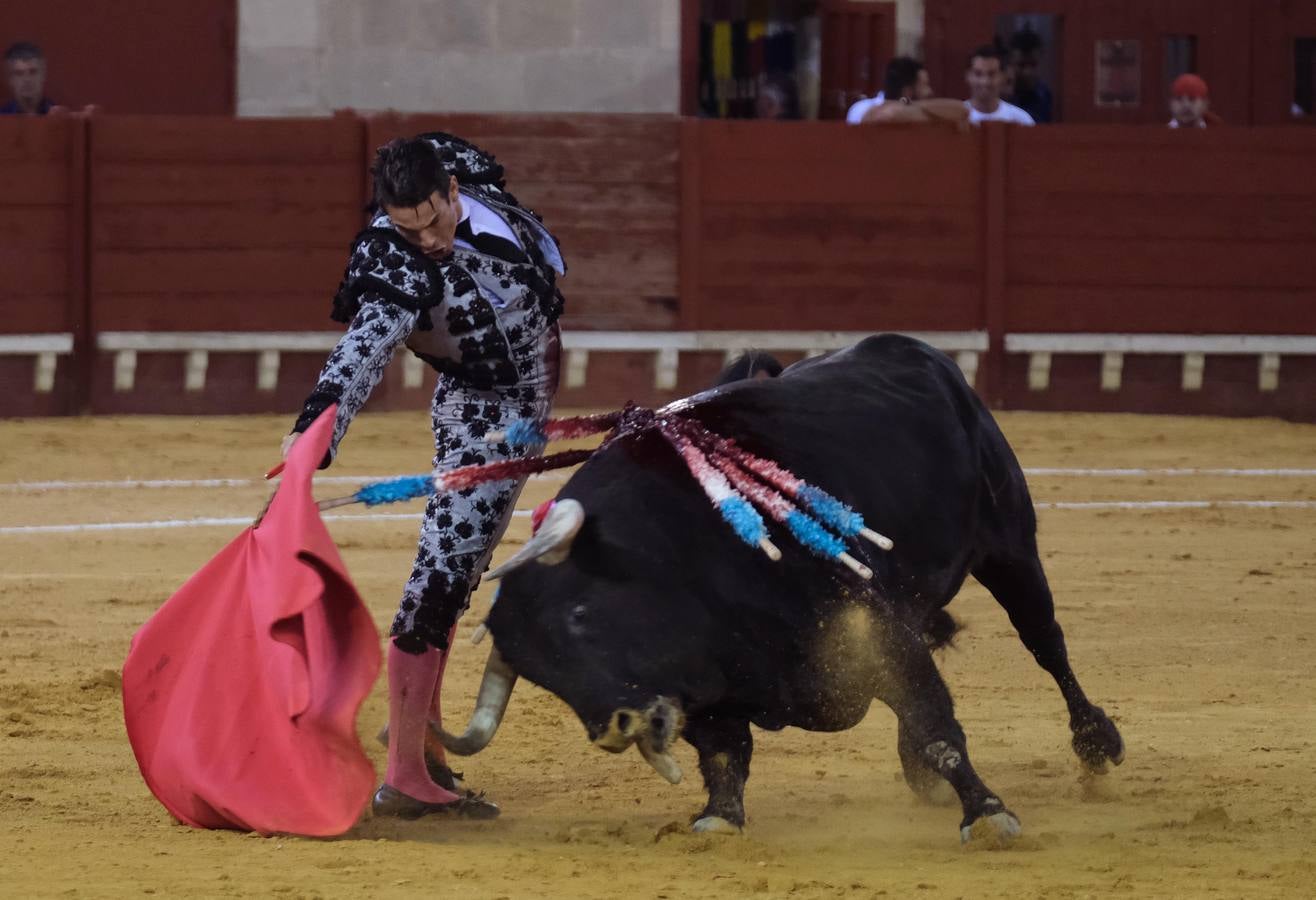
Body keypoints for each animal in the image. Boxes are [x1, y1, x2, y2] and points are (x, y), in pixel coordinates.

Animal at [442, 334, 1121, 842]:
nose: (616, 726)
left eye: (580, 613)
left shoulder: (875, 628)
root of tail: (913, 351)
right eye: (542, 676)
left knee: (1046, 642)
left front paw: (986, 814)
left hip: (1009, 545)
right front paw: (717, 821)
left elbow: (937, 729)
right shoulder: (711, 695)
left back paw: (1096, 743)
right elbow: (724, 756)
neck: (678, 556)